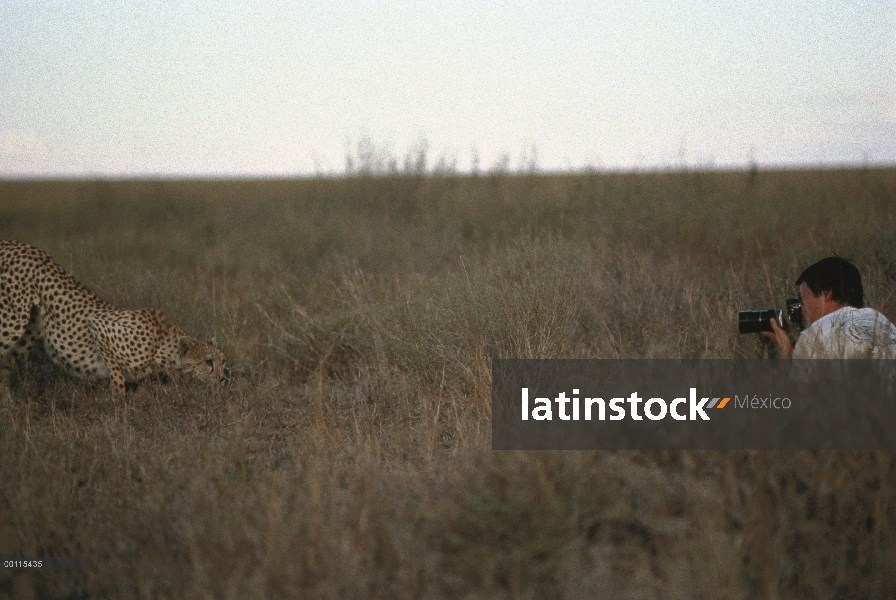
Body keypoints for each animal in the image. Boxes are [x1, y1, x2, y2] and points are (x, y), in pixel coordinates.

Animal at [1, 239, 231, 398]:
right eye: (208, 362)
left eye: (223, 361)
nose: (223, 379)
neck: (163, 346)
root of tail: (12, 243)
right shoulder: (100, 329)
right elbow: (117, 375)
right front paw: (117, 400)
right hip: (12, 321)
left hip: (30, 329)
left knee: (7, 364)